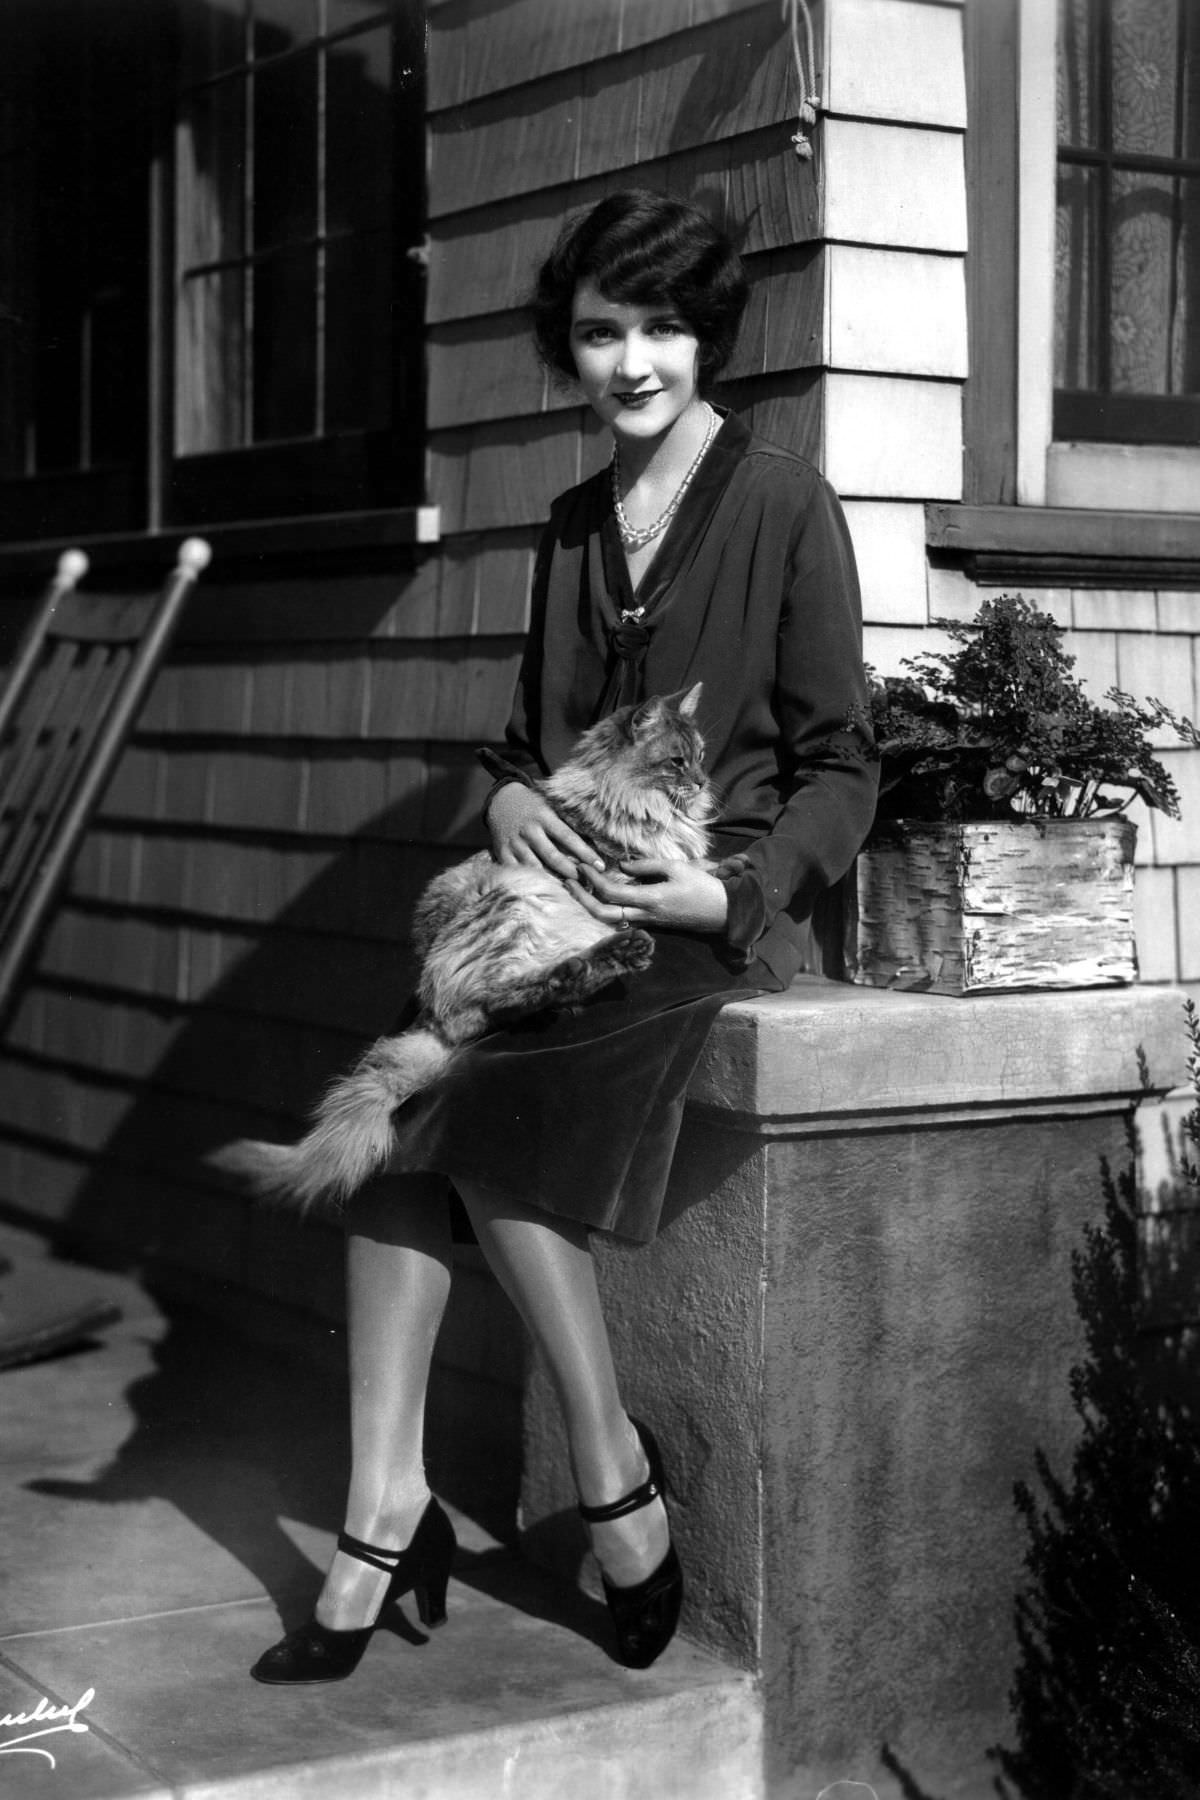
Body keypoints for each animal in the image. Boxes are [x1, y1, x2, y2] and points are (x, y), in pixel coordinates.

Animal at [211, 680, 712, 1216]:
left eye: (701, 757)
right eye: (678, 762)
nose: (704, 783)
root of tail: (432, 1019)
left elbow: (702, 865)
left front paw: (727, 868)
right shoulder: (608, 869)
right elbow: (660, 861)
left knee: (511, 1004)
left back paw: (608, 959)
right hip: (510, 905)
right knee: (503, 996)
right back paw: (596, 961)